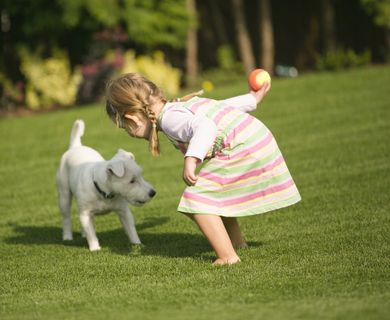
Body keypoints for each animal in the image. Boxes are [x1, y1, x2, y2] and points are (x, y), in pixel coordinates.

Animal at [56, 119, 155, 250]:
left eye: (141, 176)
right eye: (132, 181)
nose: (153, 193)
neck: (104, 192)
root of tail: (76, 146)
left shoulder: (124, 211)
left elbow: (131, 229)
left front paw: (137, 244)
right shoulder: (85, 214)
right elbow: (91, 233)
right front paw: (95, 248)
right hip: (64, 194)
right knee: (66, 216)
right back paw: (67, 236)